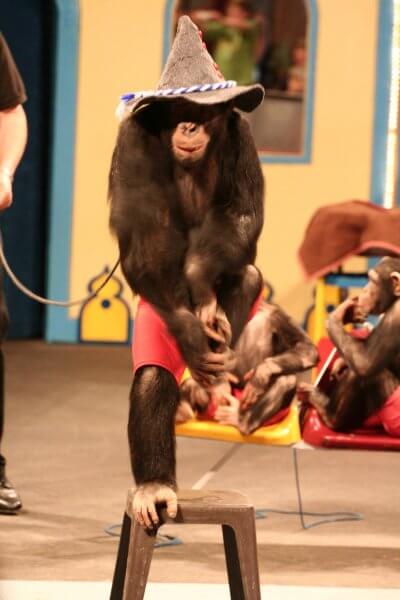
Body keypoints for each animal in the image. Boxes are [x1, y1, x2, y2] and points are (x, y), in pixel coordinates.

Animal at [108, 16, 268, 528]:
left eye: (203, 109)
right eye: (176, 106)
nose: (190, 122)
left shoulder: (242, 137)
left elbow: (242, 211)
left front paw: (201, 282)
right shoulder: (133, 143)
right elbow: (144, 232)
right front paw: (195, 332)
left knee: (247, 277)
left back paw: (216, 349)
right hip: (154, 312)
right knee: (155, 376)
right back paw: (155, 484)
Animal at [178, 298, 318, 434]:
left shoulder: (275, 313)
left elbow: (306, 348)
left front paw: (261, 373)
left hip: (272, 415)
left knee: (286, 380)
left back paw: (241, 420)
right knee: (194, 385)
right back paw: (183, 409)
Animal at [298, 256, 400, 436]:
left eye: (373, 281)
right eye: (369, 279)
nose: (364, 290)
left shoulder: (397, 314)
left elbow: (365, 361)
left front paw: (335, 316)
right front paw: (340, 363)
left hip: (394, 414)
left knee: (364, 372)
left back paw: (329, 414)